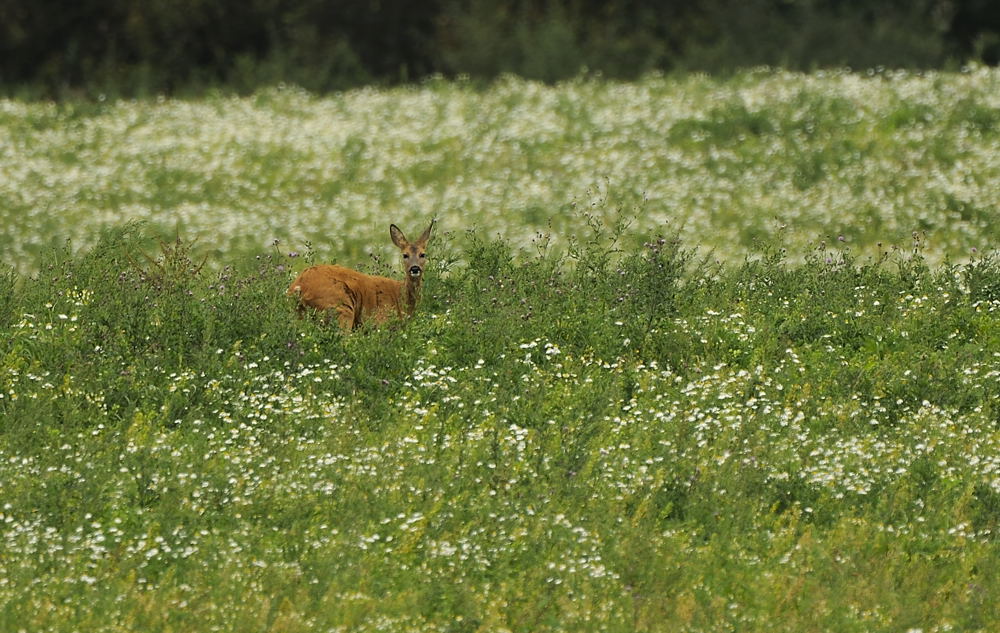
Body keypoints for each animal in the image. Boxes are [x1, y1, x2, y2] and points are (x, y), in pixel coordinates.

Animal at [286, 221, 434, 330]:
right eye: (405, 255)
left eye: (423, 254)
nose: (415, 268)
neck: (401, 299)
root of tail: (298, 287)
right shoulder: (381, 320)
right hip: (340, 307)